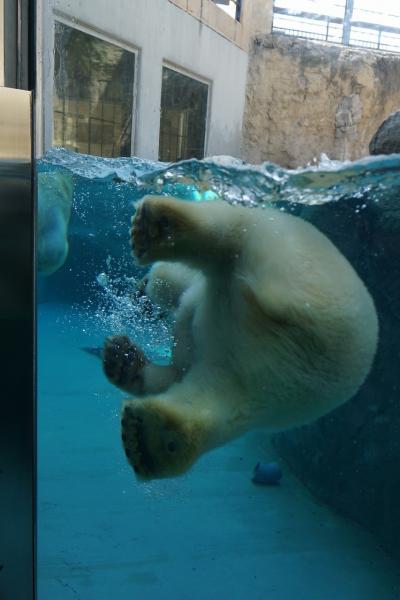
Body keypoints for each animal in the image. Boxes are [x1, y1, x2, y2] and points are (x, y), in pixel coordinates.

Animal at [102, 196, 378, 478]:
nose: (138, 294)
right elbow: (178, 376)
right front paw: (124, 361)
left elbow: (172, 281)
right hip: (274, 383)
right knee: (219, 401)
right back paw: (148, 440)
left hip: (278, 236)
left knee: (231, 228)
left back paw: (157, 225)